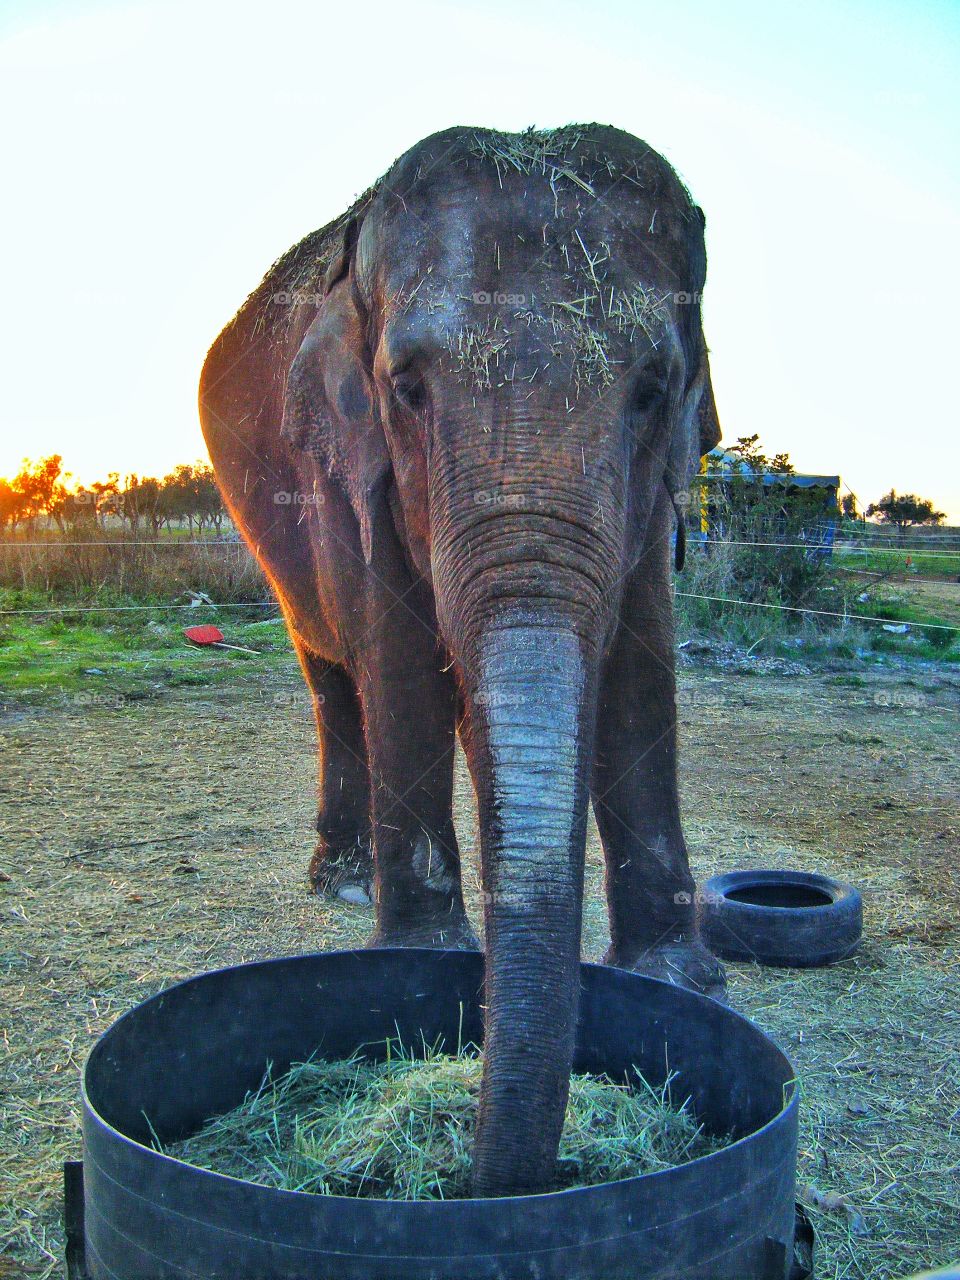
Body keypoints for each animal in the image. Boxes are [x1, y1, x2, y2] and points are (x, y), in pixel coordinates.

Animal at [199, 124, 725, 1198]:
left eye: (653, 390)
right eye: (407, 389)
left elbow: (642, 663)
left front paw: (678, 980)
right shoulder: (344, 457)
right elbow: (398, 657)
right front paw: (417, 957)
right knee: (333, 676)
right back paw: (344, 882)